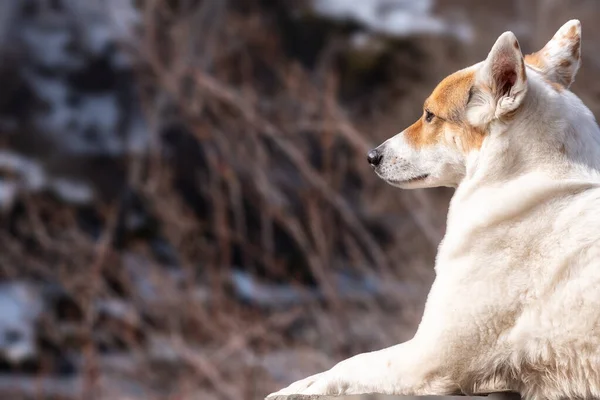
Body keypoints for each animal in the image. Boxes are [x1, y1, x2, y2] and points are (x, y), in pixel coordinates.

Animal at [268, 21, 600, 400]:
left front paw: (296, 388)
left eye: (429, 116)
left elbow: (348, 365)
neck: (526, 182)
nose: (371, 156)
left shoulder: (428, 357)